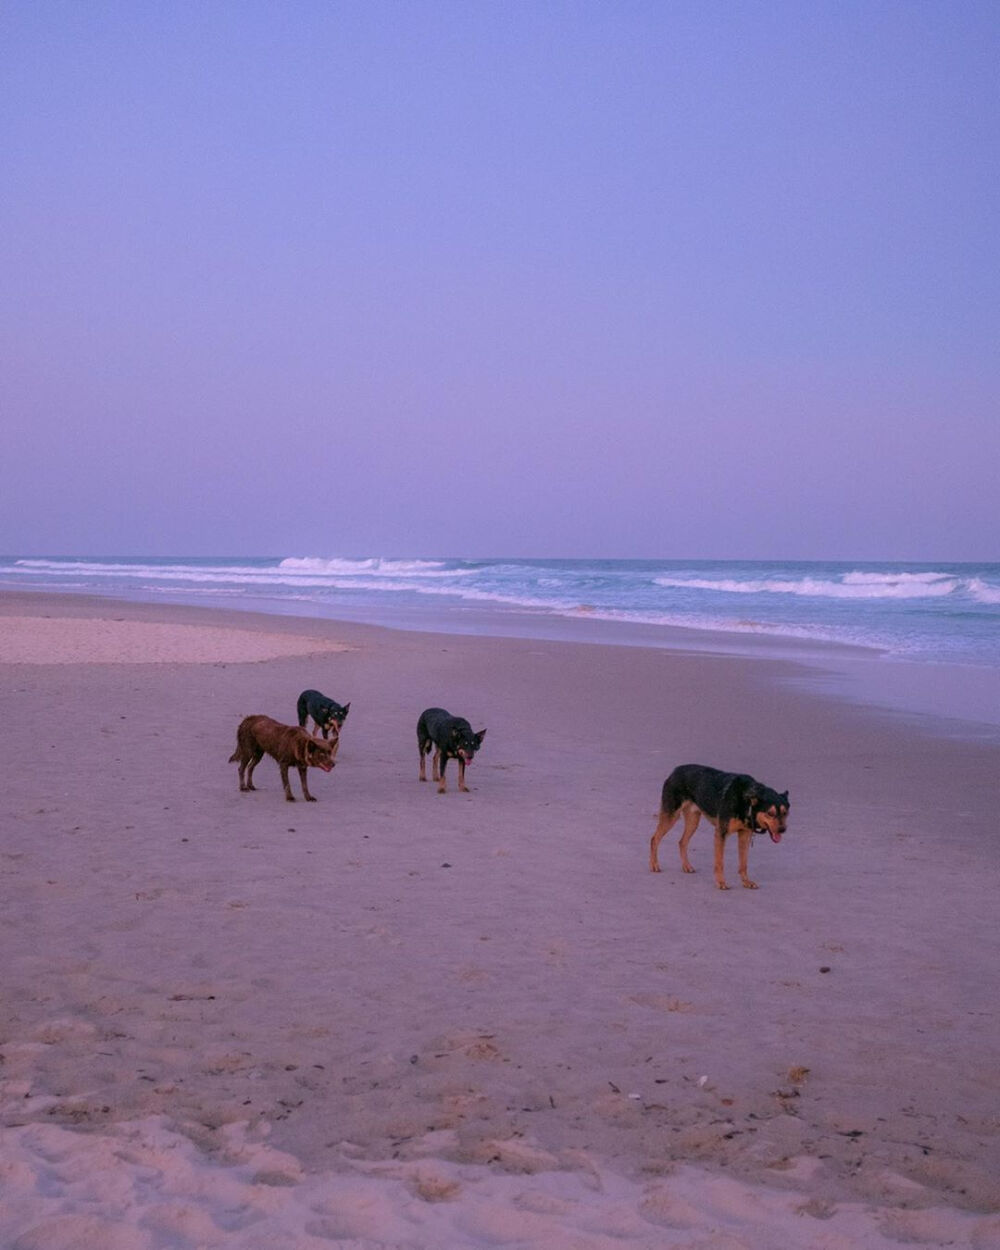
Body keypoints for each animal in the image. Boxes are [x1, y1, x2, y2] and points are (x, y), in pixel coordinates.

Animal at [650, 760, 790, 890]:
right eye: (770, 813)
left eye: (785, 813)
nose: (782, 830)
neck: (746, 802)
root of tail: (675, 770)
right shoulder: (720, 833)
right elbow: (719, 863)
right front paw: (721, 882)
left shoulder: (744, 835)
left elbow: (743, 863)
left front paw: (746, 882)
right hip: (671, 817)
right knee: (654, 839)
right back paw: (654, 865)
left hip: (693, 822)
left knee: (682, 842)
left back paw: (686, 866)